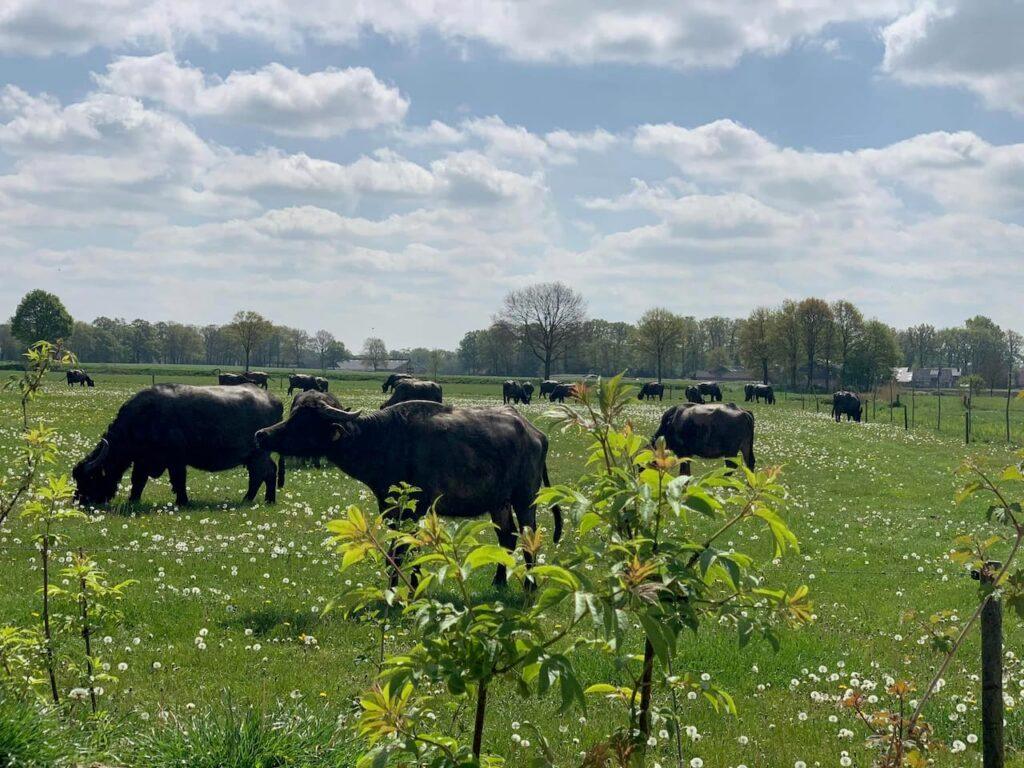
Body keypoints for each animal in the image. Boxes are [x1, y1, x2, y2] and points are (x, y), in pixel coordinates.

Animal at [73, 384, 283, 507]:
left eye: (91, 478)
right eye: (77, 479)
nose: (79, 501)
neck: (144, 419)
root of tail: (273, 399)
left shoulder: (176, 461)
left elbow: (178, 481)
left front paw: (182, 501)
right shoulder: (142, 460)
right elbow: (138, 481)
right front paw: (133, 500)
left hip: (258, 455)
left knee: (261, 474)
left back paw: (251, 499)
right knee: (266, 473)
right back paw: (265, 499)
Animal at [255, 399, 563, 586]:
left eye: (303, 421)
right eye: (293, 413)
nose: (261, 434)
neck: (384, 440)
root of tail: (536, 434)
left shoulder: (416, 508)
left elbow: (404, 551)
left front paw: (405, 589)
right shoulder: (391, 508)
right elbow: (397, 551)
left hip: (526, 499)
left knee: (528, 538)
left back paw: (530, 586)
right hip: (498, 503)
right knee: (506, 539)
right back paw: (499, 581)